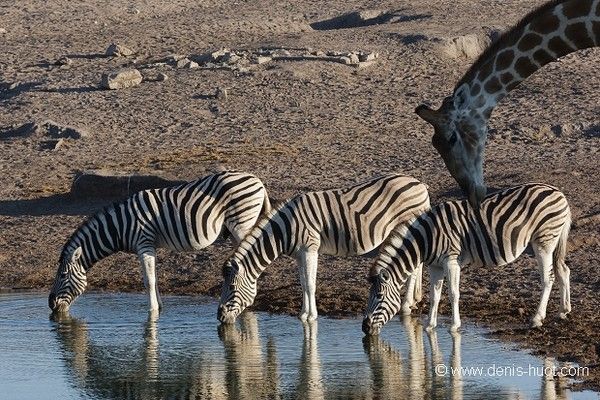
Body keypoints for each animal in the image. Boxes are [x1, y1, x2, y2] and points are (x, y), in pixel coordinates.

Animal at [49, 170, 270, 314]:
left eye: (63, 275)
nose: (51, 305)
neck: (119, 226)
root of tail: (257, 180)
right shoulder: (150, 246)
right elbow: (153, 278)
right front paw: (160, 307)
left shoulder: (144, 243)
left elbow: (148, 280)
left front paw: (152, 310)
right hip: (235, 228)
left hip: (242, 223)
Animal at [217, 173, 432, 324]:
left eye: (232, 288)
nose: (219, 317)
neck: (284, 230)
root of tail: (419, 183)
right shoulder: (299, 254)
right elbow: (303, 283)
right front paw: (303, 314)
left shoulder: (309, 248)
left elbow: (310, 284)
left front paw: (311, 316)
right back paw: (414, 299)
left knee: (413, 268)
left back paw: (406, 305)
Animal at [360, 184, 572, 334]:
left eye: (379, 296)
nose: (364, 328)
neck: (426, 239)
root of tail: (559, 193)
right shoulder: (435, 266)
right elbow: (435, 295)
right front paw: (429, 325)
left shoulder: (451, 260)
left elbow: (453, 293)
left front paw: (454, 325)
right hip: (554, 240)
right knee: (563, 270)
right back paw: (563, 311)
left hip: (543, 241)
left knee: (548, 278)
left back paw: (537, 318)